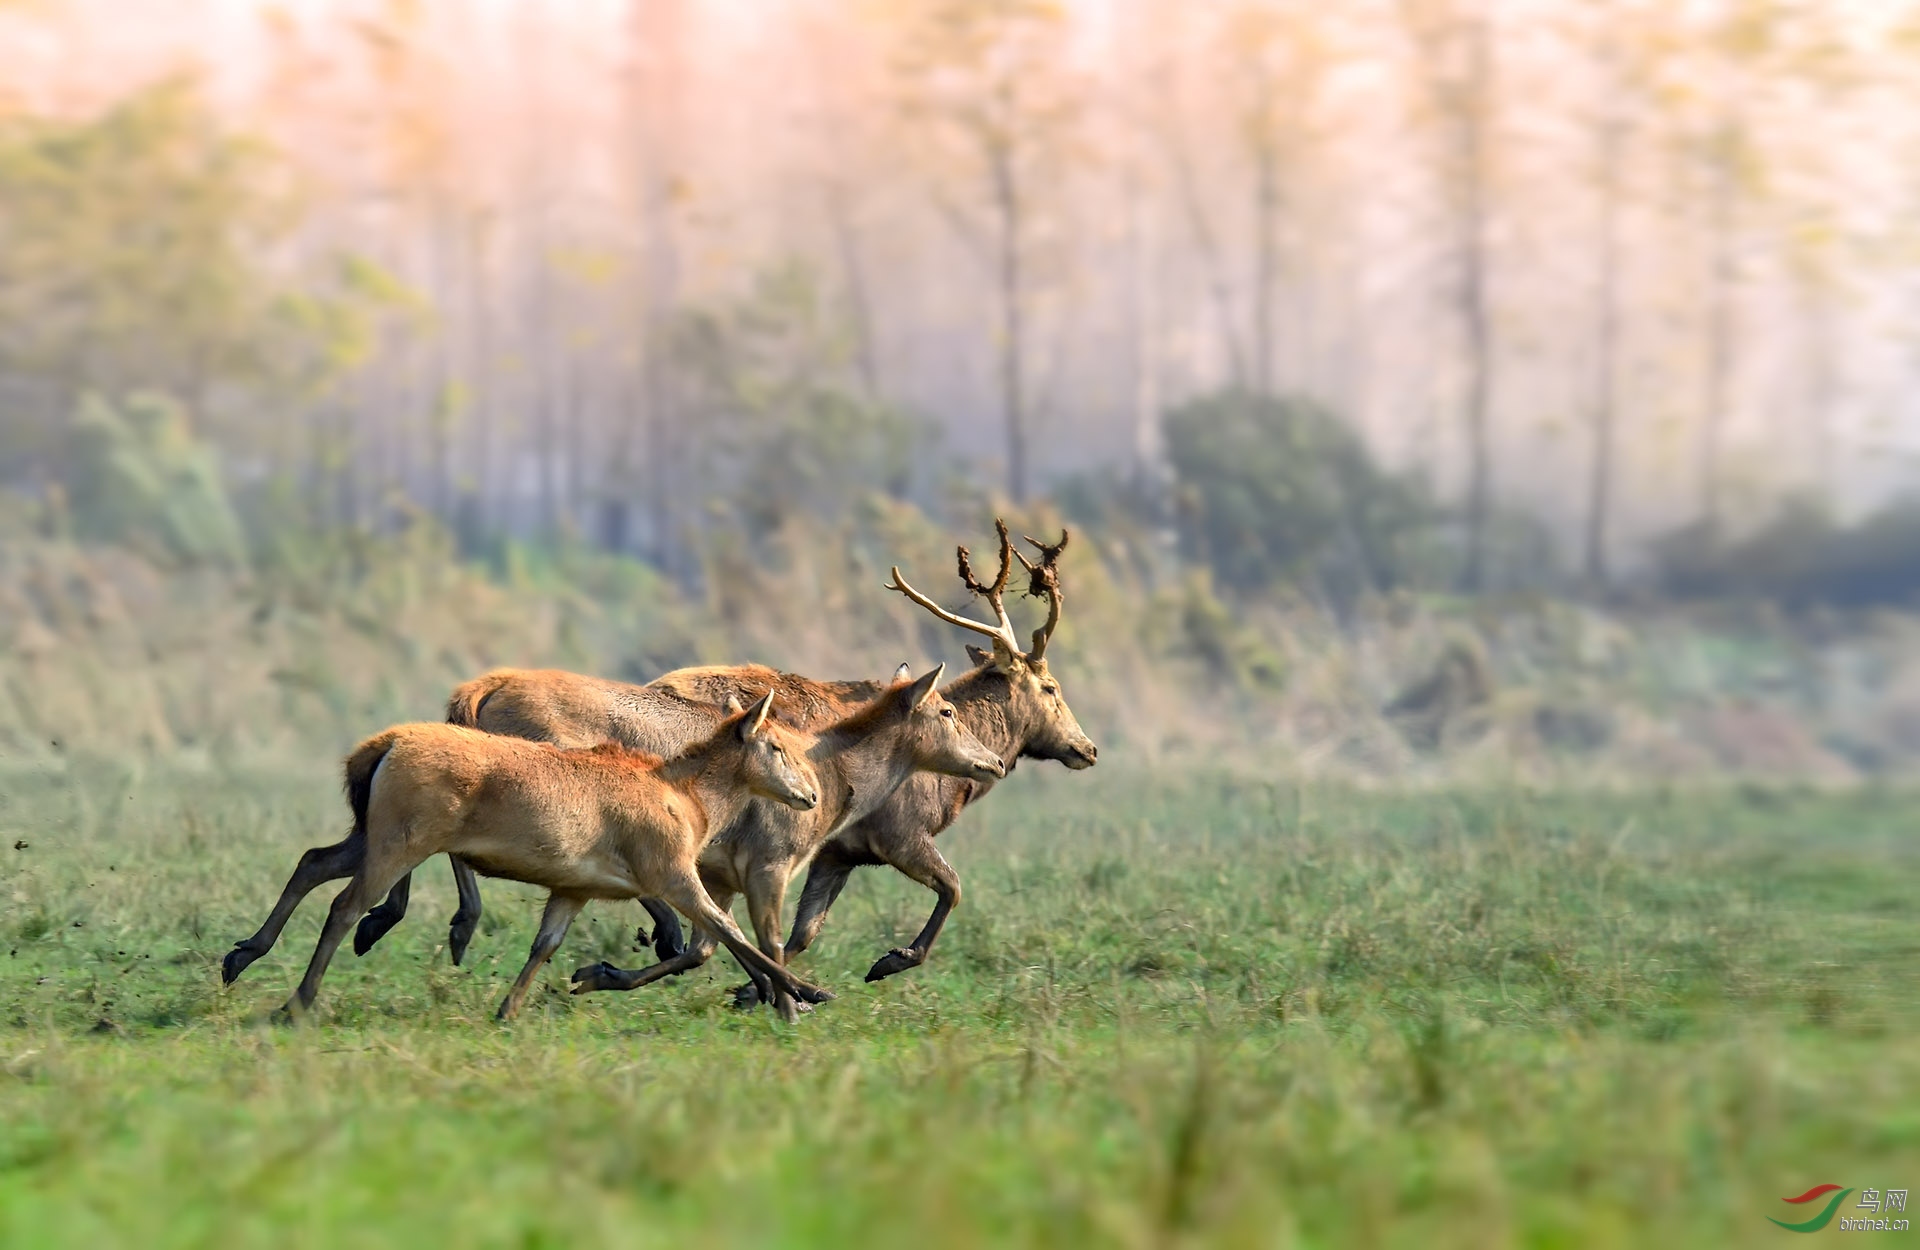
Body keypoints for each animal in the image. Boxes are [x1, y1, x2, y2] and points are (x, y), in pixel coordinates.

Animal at [222, 695, 833, 1029]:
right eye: (776, 745)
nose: (811, 795)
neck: (691, 801)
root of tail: (379, 749)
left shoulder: (575, 887)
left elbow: (546, 944)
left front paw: (510, 1008)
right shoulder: (670, 871)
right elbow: (730, 930)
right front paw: (804, 994)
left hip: (370, 834)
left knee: (312, 861)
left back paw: (242, 955)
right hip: (401, 839)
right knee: (345, 906)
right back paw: (297, 1001)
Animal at [564, 660, 1006, 1013]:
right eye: (947, 710)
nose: (996, 761)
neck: (836, 776)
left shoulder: (726, 880)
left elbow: (708, 947)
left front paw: (598, 975)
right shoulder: (769, 866)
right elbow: (769, 942)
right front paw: (881, 965)